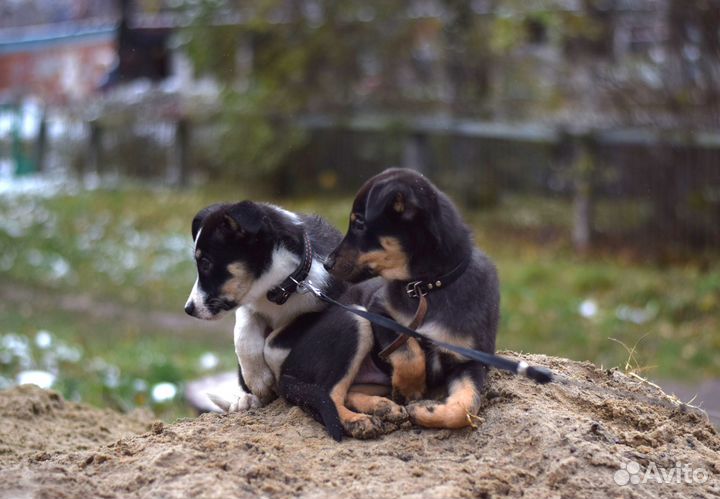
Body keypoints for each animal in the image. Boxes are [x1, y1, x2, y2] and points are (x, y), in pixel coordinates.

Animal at [186, 201, 408, 440]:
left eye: (206, 263)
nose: (189, 309)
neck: (281, 287)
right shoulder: (249, 304)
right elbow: (244, 335)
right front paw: (258, 380)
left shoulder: (330, 304)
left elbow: (274, 342)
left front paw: (275, 374)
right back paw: (245, 399)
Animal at [326, 168, 500, 430]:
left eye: (359, 224)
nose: (327, 263)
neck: (427, 287)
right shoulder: (379, 310)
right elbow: (407, 348)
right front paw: (410, 389)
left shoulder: (471, 361)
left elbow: (465, 406)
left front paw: (423, 410)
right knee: (328, 393)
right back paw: (358, 420)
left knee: (348, 392)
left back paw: (383, 407)